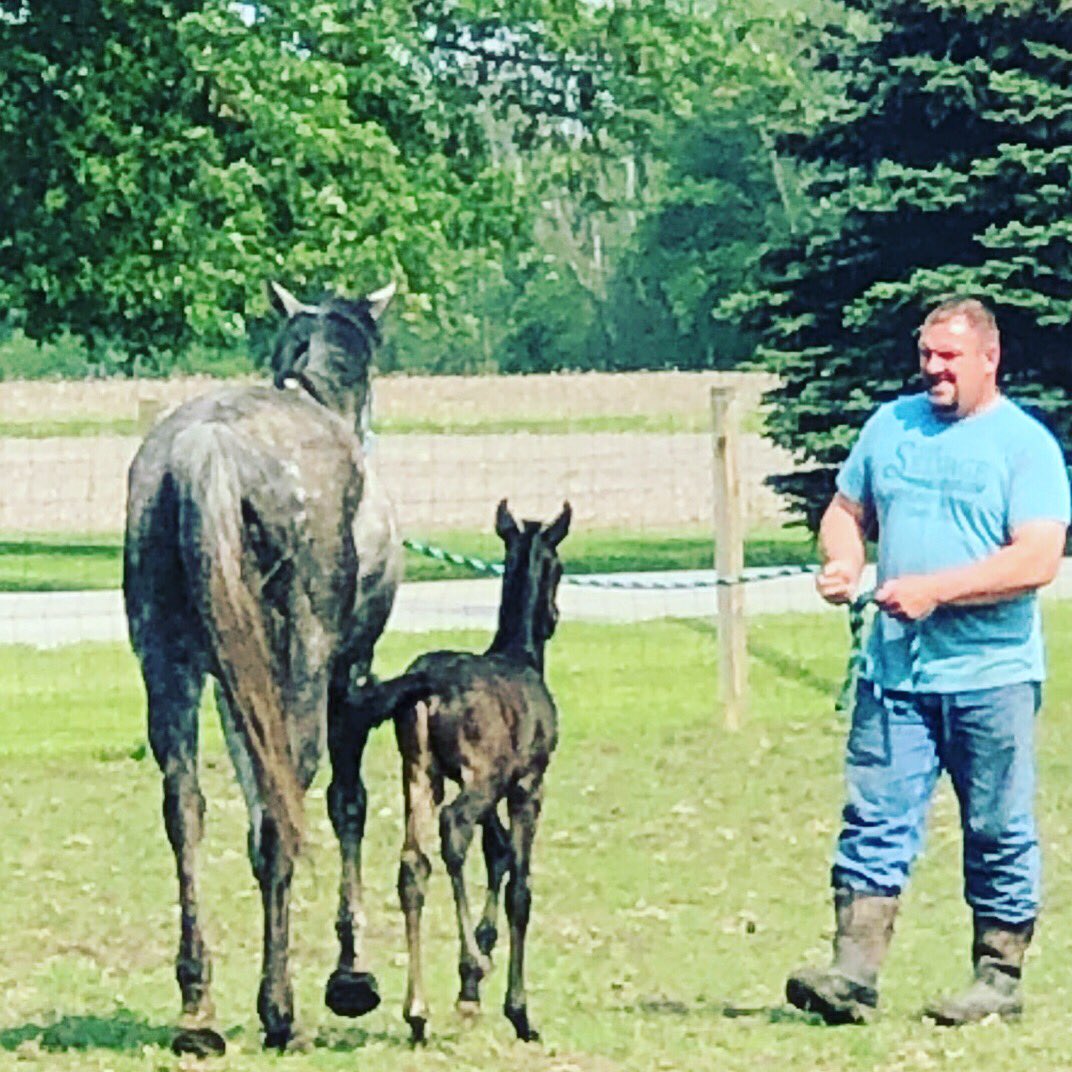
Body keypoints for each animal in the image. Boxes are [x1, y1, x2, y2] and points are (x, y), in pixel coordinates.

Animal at [349, 497, 570, 1041]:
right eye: (559, 567)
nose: (554, 616)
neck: (520, 656)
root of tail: (428, 684)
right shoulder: (526, 784)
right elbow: (519, 886)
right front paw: (517, 1009)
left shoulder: (489, 784)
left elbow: (498, 853)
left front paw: (474, 975)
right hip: (477, 779)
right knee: (454, 828)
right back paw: (471, 965)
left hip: (420, 772)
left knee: (414, 863)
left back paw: (418, 1009)